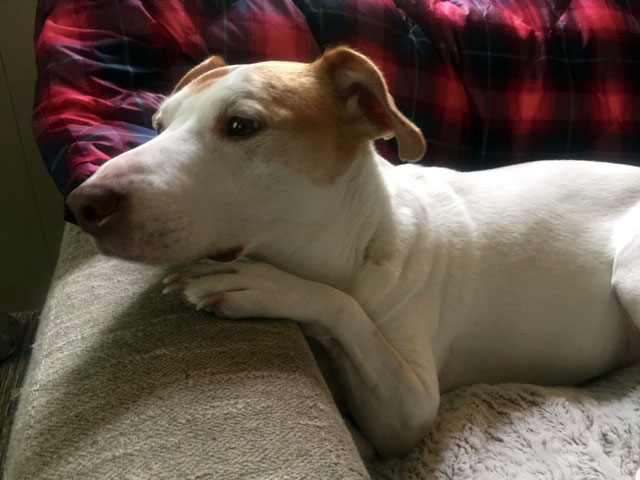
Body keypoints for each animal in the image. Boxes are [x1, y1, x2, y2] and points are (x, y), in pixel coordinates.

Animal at [65, 47, 640, 458]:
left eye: (242, 125)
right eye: (158, 126)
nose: (81, 204)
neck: (364, 241)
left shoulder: (411, 407)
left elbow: (343, 309)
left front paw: (259, 283)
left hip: (628, 275)